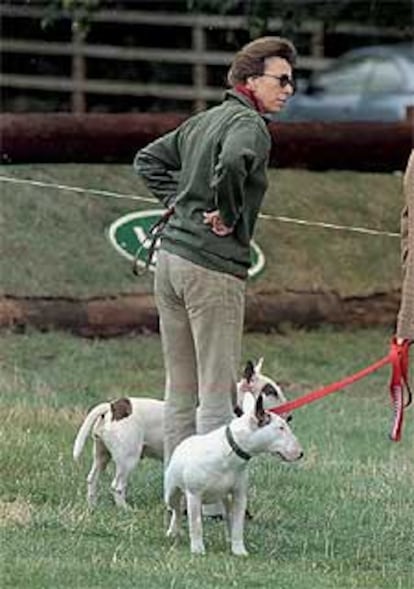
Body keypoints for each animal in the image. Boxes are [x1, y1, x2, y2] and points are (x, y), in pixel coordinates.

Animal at [73, 356, 290, 508]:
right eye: (271, 391)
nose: (290, 418)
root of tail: (112, 407)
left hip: (102, 454)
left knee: (92, 478)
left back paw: (92, 506)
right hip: (128, 458)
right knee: (117, 486)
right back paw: (125, 509)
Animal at [165, 392, 304, 552]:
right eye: (280, 428)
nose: (301, 453)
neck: (229, 452)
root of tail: (183, 443)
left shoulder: (238, 496)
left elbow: (237, 525)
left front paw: (239, 550)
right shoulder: (194, 495)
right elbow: (196, 524)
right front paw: (198, 549)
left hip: (225, 498)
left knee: (227, 518)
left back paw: (228, 538)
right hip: (171, 491)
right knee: (176, 510)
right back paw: (173, 531)